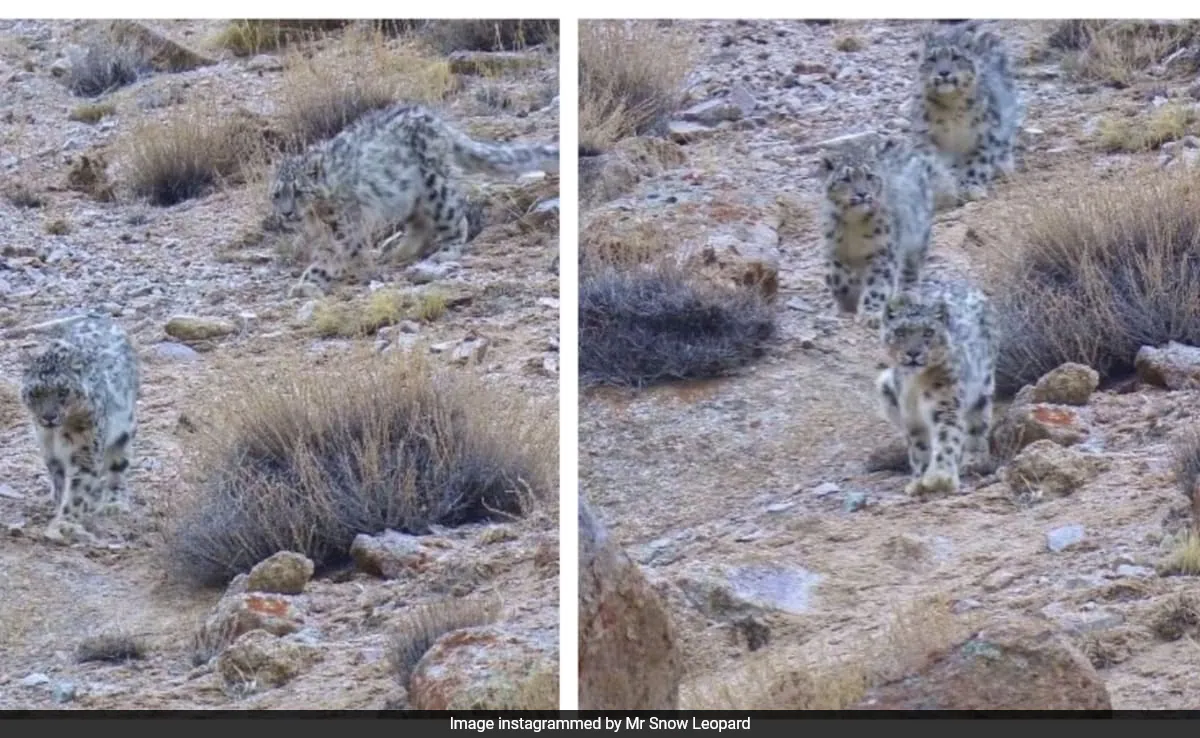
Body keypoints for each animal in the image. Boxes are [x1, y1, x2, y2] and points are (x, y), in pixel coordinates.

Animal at [17, 309, 139, 542]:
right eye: (36, 393)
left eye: (63, 391)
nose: (49, 417)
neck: (56, 434)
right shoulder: (50, 453)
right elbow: (60, 483)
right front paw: (59, 507)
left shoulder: (85, 451)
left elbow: (77, 490)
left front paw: (66, 524)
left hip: (124, 431)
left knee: (117, 467)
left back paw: (114, 503)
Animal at [270, 102, 559, 298]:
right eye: (277, 194)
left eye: (299, 191)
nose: (286, 213)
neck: (317, 215)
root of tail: (434, 120)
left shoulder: (344, 226)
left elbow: (333, 255)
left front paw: (310, 282)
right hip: (408, 196)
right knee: (420, 226)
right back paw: (397, 252)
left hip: (433, 186)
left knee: (456, 220)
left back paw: (442, 253)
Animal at [820, 137, 940, 328]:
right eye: (845, 178)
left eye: (870, 176)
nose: (862, 193)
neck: (854, 226)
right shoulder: (834, 250)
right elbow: (838, 278)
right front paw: (847, 303)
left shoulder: (882, 253)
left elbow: (876, 286)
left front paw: (870, 315)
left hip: (917, 235)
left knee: (911, 267)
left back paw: (906, 294)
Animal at [873, 279, 993, 499]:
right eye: (900, 332)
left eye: (928, 332)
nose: (913, 353)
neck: (916, 384)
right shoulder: (911, 418)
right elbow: (919, 448)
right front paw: (918, 481)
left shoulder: (946, 404)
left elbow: (947, 438)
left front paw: (940, 477)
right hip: (886, 388)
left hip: (983, 389)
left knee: (977, 426)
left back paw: (973, 460)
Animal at [907, 23, 1022, 201]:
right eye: (932, 59)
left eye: (956, 57)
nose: (944, 72)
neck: (950, 108)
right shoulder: (925, 136)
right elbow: (933, 164)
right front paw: (943, 187)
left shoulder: (984, 135)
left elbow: (976, 163)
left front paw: (971, 188)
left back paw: (1004, 164)